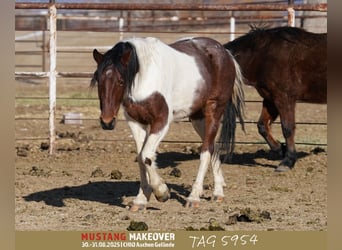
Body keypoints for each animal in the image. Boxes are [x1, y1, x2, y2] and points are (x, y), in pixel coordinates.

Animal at [91, 36, 246, 209]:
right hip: (197, 117)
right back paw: (218, 193)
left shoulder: (161, 121)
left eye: (120, 81)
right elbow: (140, 158)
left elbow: (146, 155)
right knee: (213, 147)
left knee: (206, 151)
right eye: (98, 80)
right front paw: (141, 199)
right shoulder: (136, 122)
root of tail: (225, 53)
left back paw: (194, 197)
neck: (144, 76)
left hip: (214, 110)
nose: (107, 122)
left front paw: (161, 192)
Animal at [223, 26, 328, 172]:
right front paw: (280, 149)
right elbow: (262, 125)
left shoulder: (284, 98)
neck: (262, 55)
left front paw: (287, 161)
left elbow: (287, 128)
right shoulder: (270, 99)